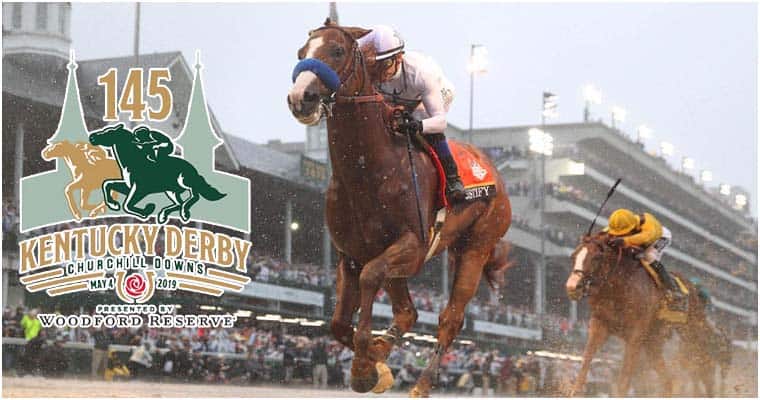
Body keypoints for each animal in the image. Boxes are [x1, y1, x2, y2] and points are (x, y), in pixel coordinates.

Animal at [288, 20, 512, 396]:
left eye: (337, 51)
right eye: (302, 53)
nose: (299, 98)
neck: (368, 172)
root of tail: (492, 171)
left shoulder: (413, 246)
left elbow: (370, 279)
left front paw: (364, 368)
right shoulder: (350, 255)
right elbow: (338, 323)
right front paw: (376, 364)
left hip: (476, 246)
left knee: (450, 318)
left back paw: (421, 383)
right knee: (408, 312)